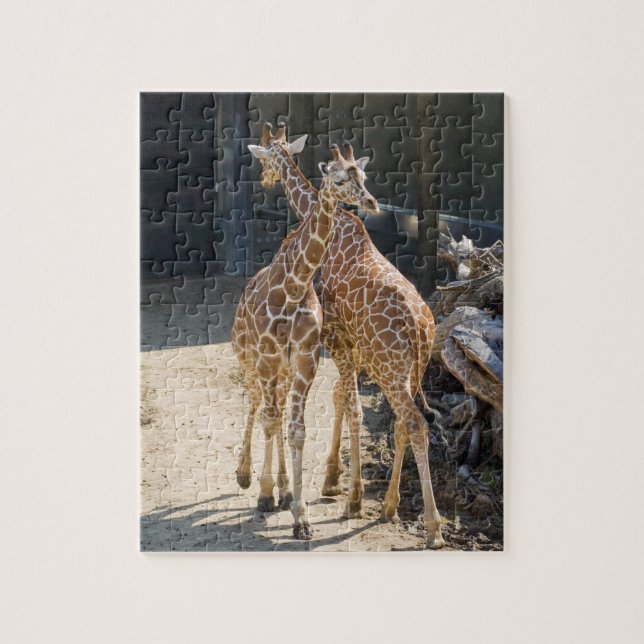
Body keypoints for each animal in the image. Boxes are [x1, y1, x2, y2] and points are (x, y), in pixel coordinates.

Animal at [231, 124, 377, 540]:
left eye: (363, 176)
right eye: (340, 178)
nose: (371, 202)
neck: (293, 287)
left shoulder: (306, 358)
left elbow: (296, 427)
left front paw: (299, 515)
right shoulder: (269, 358)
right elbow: (272, 419)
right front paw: (266, 493)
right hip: (250, 356)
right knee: (261, 405)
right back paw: (250, 477)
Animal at [251, 126, 445, 548]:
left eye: (265, 158)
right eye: (346, 178)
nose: (265, 180)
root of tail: (422, 328)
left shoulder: (335, 336)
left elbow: (347, 403)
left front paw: (344, 492)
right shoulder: (347, 344)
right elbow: (343, 399)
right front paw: (337, 483)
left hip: (388, 368)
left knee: (414, 423)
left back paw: (434, 527)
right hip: (409, 372)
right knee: (402, 423)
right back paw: (389, 506)